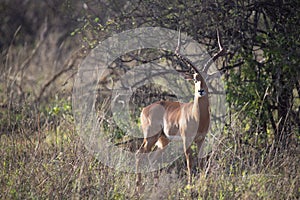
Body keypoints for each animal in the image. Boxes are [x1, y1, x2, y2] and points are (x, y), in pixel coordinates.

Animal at [136, 30, 225, 188]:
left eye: (207, 78)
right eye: (195, 79)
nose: (201, 91)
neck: (197, 116)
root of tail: (145, 109)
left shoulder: (201, 139)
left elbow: (201, 162)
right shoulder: (186, 140)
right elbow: (189, 163)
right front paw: (190, 186)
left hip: (163, 140)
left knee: (152, 159)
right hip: (151, 137)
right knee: (139, 154)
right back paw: (138, 188)